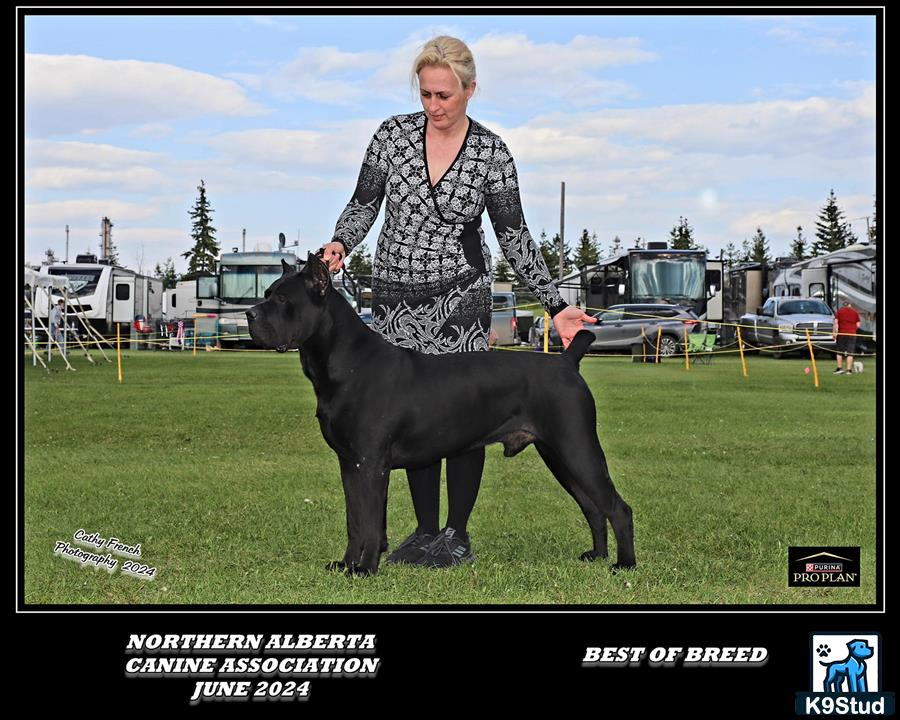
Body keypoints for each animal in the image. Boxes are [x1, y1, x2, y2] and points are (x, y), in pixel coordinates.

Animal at [250, 256, 636, 576]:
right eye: (267, 294)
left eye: (282, 300)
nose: (250, 315)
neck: (345, 362)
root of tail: (567, 360)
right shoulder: (349, 464)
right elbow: (354, 521)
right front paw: (346, 565)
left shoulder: (371, 465)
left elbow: (371, 523)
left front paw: (366, 569)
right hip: (558, 455)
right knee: (593, 507)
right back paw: (597, 555)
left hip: (577, 447)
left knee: (618, 508)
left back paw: (624, 565)